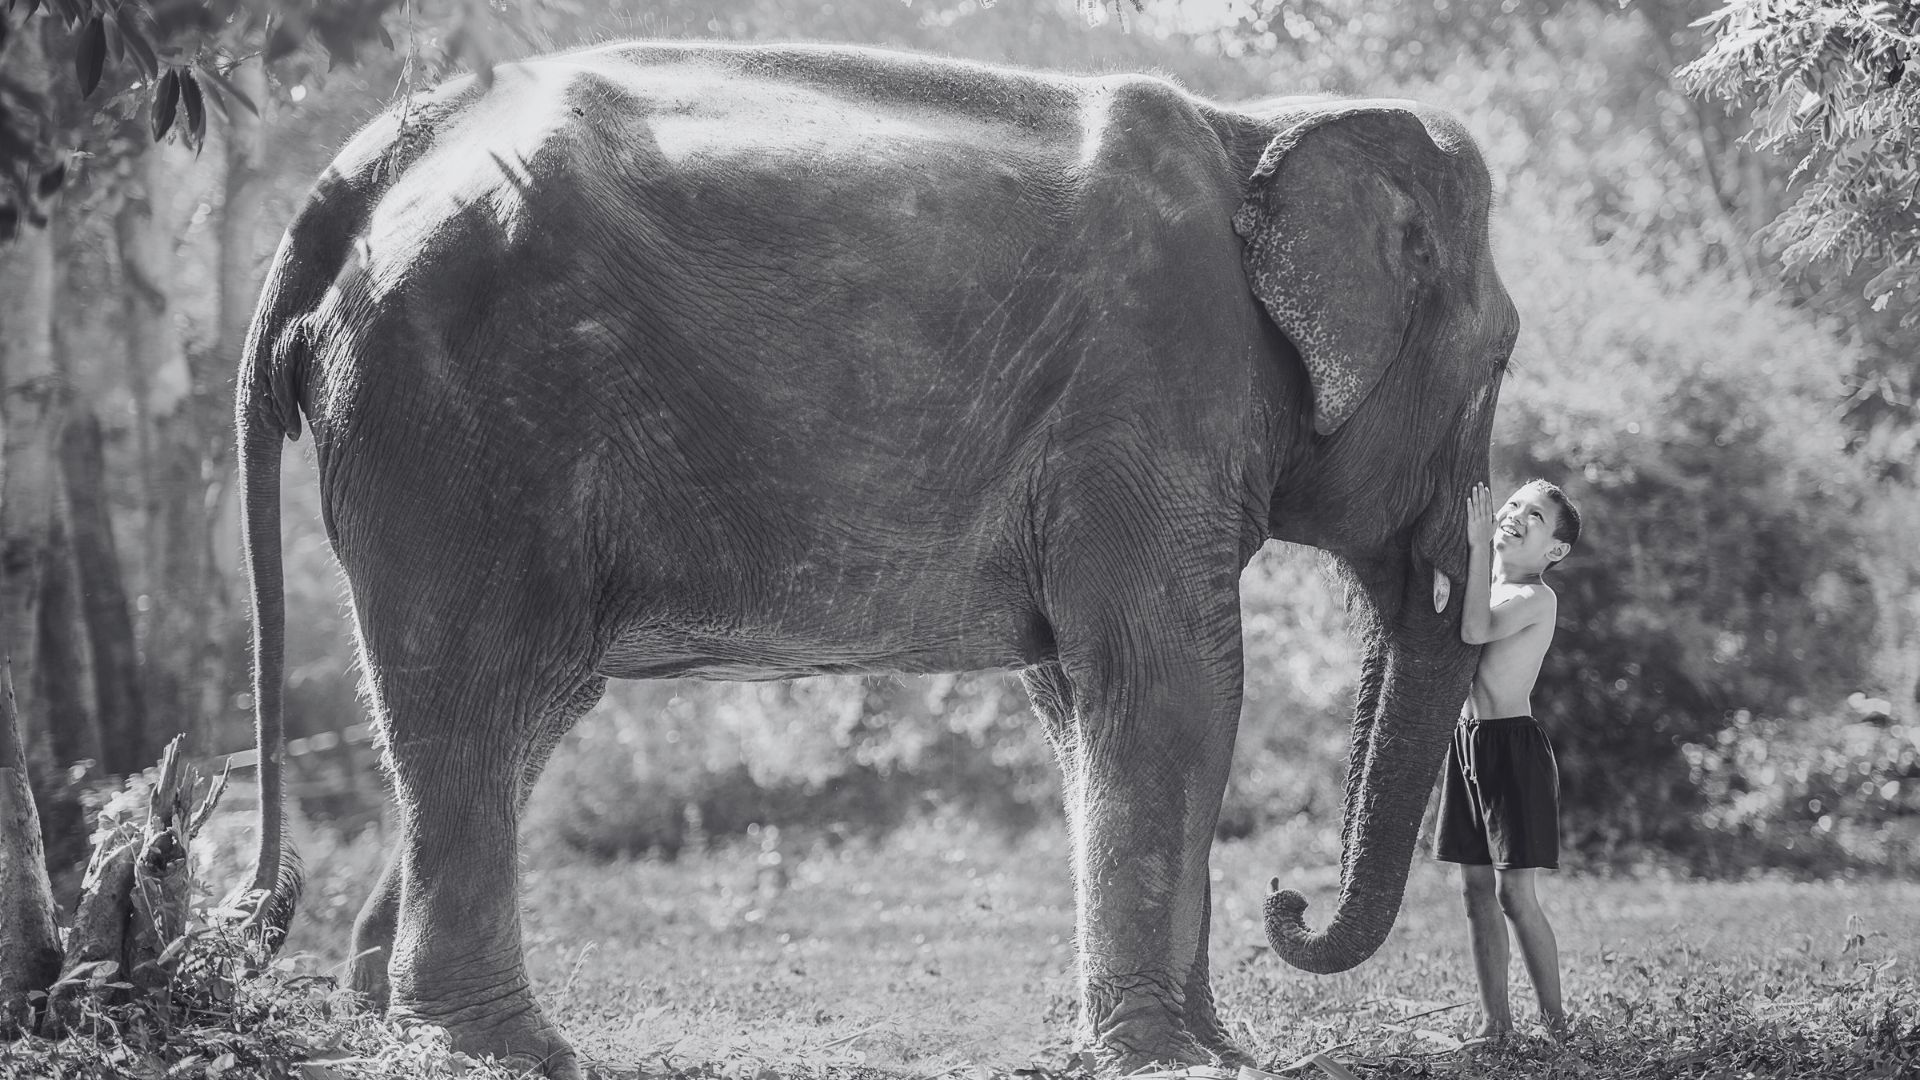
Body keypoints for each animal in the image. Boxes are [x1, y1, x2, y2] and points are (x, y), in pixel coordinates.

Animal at [232, 40, 1516, 1078]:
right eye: (1503, 356)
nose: (1287, 900)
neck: (1257, 126)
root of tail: (363, 168)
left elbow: (1081, 698)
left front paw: (1208, 1048)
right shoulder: (1152, 388)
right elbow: (1174, 683)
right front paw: (1177, 1059)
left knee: (522, 709)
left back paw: (388, 1022)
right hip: (456, 419)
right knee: (477, 686)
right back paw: (501, 1049)